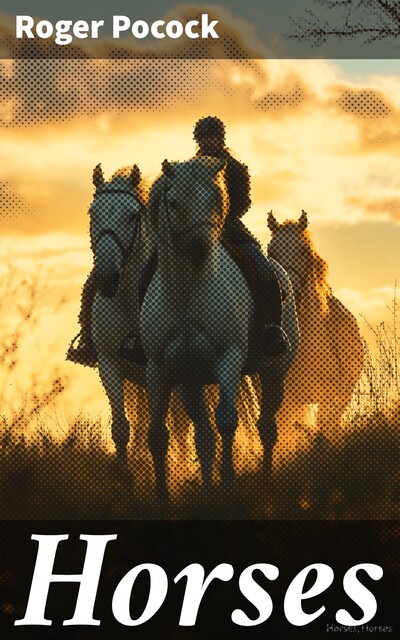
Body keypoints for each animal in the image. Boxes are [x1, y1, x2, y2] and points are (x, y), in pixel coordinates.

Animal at [141, 157, 299, 498]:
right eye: (174, 202)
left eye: (216, 198)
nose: (201, 251)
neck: (186, 296)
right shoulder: (161, 370)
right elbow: (160, 435)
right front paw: (164, 496)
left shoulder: (228, 359)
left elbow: (227, 421)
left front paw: (226, 484)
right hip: (191, 383)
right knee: (205, 436)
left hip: (274, 372)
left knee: (267, 426)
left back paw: (266, 480)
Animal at [267, 210, 364, 447]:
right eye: (271, 252)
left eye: (304, 250)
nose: (289, 293)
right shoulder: (286, 400)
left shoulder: (328, 396)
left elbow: (325, 426)